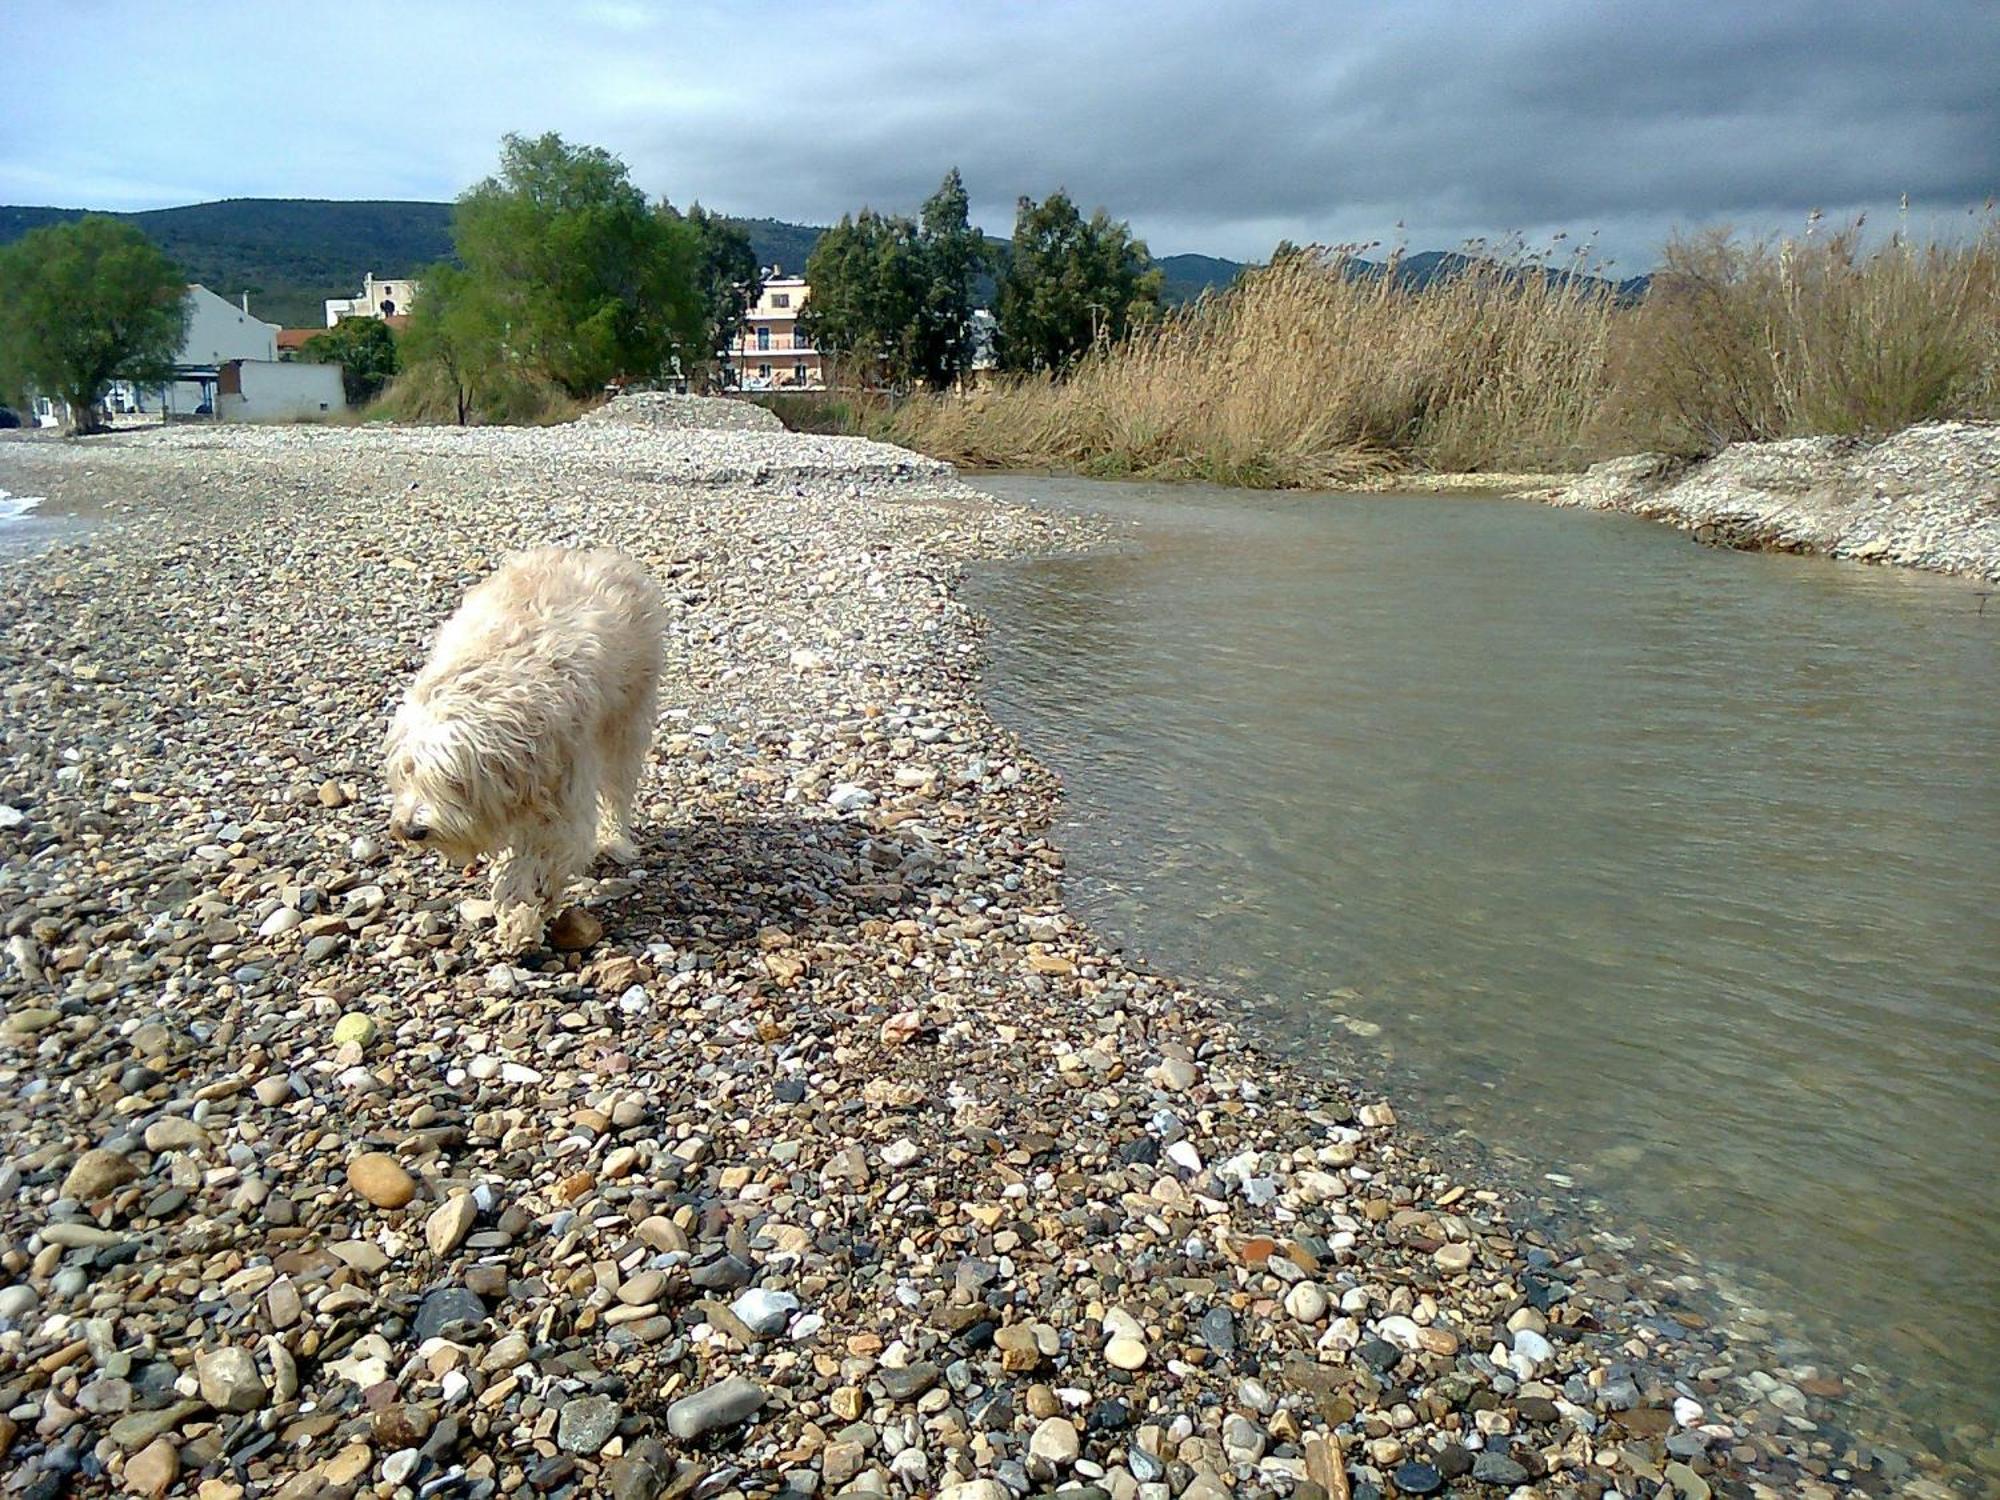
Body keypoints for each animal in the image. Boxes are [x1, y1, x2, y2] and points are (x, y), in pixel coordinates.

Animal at [386, 548, 668, 952]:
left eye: (453, 780)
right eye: (406, 773)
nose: (411, 829)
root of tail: (598, 555)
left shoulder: (565, 793)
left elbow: (541, 857)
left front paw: (523, 914)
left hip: (627, 718)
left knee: (618, 786)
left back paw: (614, 839)